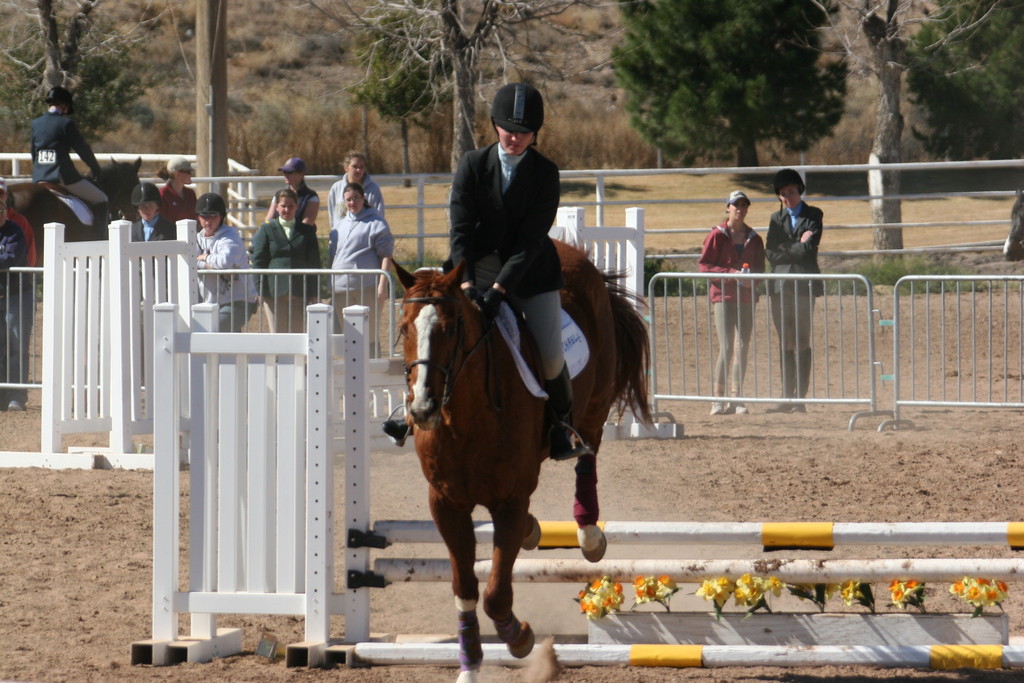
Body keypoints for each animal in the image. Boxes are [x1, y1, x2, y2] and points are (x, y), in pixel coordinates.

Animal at [391, 240, 647, 679]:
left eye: (451, 328)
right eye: (405, 327)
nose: (422, 409)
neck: (466, 418)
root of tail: (570, 249)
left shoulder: (508, 501)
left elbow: (495, 593)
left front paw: (520, 637)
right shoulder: (446, 504)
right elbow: (465, 588)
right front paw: (469, 666)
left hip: (594, 405)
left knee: (588, 452)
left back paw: (588, 532)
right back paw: (533, 530)